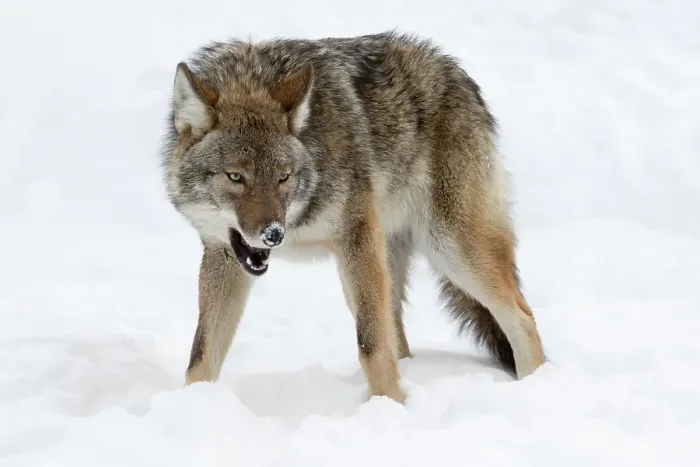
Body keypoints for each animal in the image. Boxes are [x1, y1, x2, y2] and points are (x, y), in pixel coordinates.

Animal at [159, 31, 545, 404]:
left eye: (284, 177)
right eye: (236, 177)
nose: (273, 235)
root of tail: (456, 72)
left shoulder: (355, 237)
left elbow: (372, 348)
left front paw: (388, 408)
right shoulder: (224, 255)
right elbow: (201, 356)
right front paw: (193, 405)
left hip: (449, 250)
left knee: (522, 317)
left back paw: (536, 384)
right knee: (400, 340)